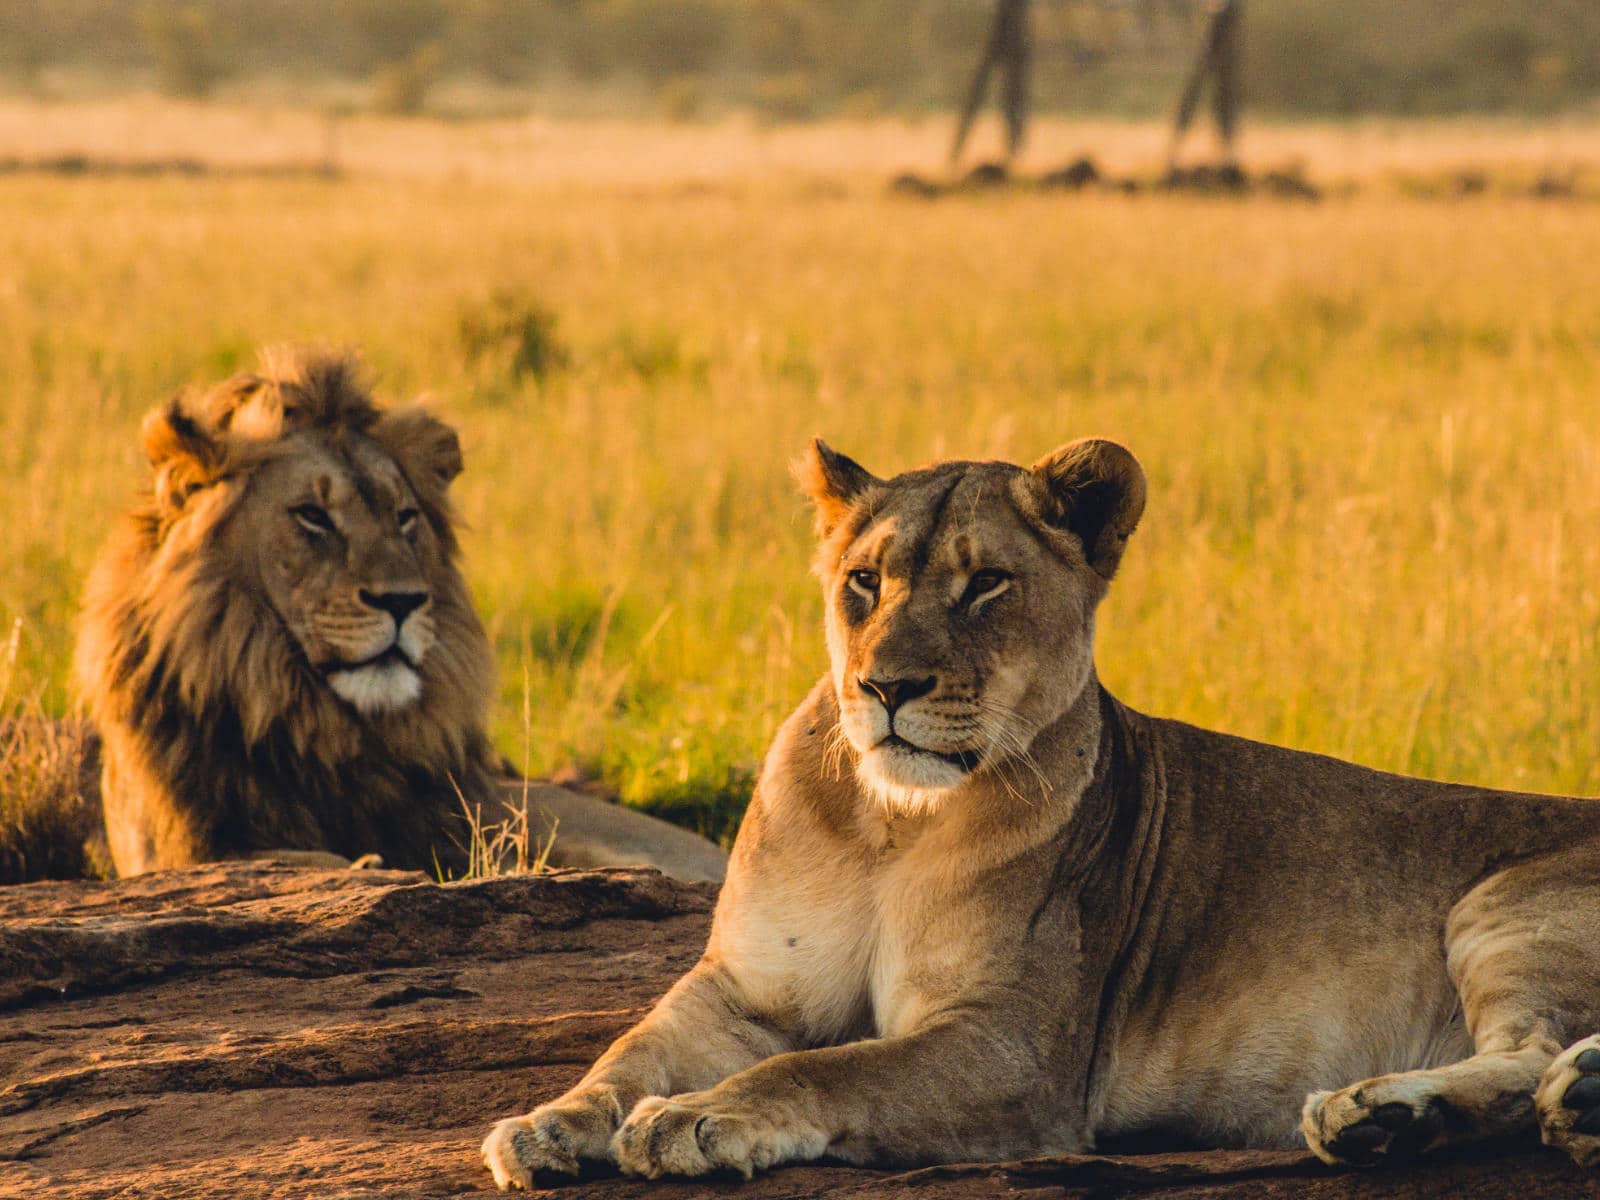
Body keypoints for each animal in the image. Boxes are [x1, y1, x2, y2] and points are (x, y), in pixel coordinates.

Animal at [75, 348, 726, 883]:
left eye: (405, 516)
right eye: (312, 515)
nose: (403, 602)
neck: (305, 720)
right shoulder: (178, 847)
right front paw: (362, 863)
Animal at [483, 436, 1600, 1186]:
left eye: (985, 584)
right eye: (862, 581)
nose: (886, 686)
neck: (893, 826)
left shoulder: (1013, 1047)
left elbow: (831, 1070)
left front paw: (694, 1119)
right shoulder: (743, 991)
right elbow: (630, 1050)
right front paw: (548, 1124)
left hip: (1503, 906)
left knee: (1528, 1053)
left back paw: (1395, 1113)